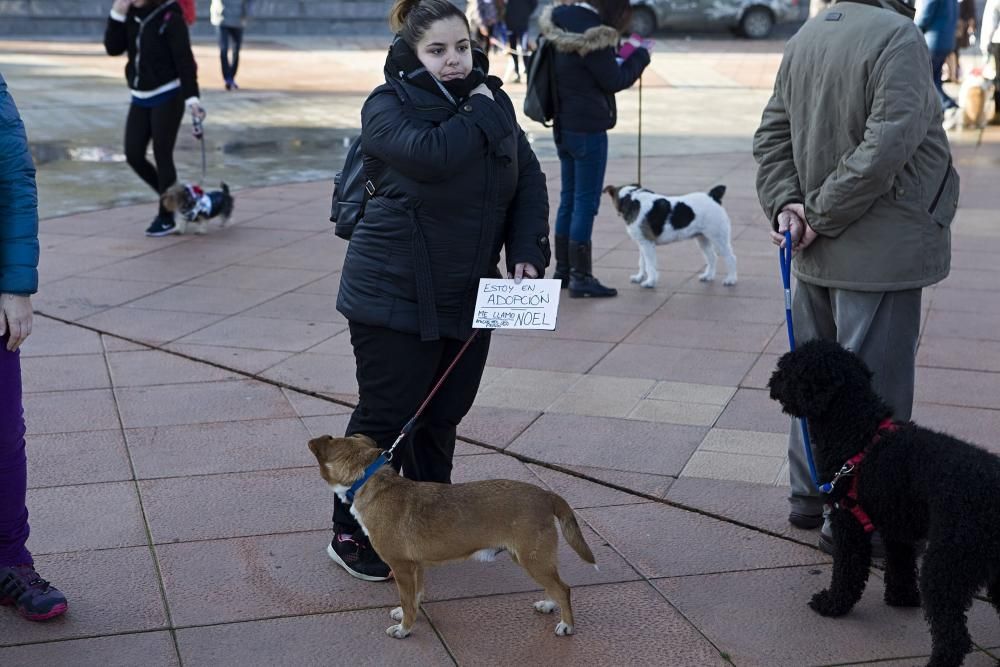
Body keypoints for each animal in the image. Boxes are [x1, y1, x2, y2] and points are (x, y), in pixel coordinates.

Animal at [308, 436, 596, 640]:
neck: (369, 480)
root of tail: (547, 495)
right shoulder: (416, 566)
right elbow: (414, 597)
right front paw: (408, 614)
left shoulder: (401, 567)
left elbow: (407, 599)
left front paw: (404, 629)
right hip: (530, 558)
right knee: (554, 586)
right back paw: (549, 605)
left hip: (533, 559)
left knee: (563, 588)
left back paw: (566, 625)